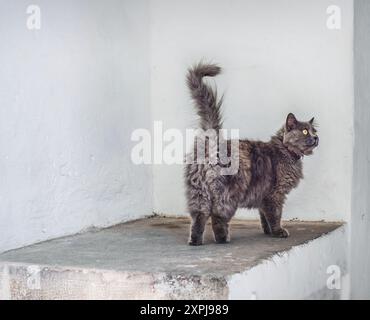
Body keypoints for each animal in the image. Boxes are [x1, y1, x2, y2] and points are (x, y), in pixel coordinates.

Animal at [186, 63, 320, 248]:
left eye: (314, 131)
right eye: (305, 131)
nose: (316, 138)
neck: (286, 151)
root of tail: (213, 142)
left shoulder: (264, 194)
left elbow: (264, 216)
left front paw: (268, 231)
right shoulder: (275, 194)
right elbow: (275, 215)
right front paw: (278, 232)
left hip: (199, 193)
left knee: (198, 217)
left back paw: (195, 242)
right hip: (228, 194)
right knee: (217, 217)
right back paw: (222, 239)